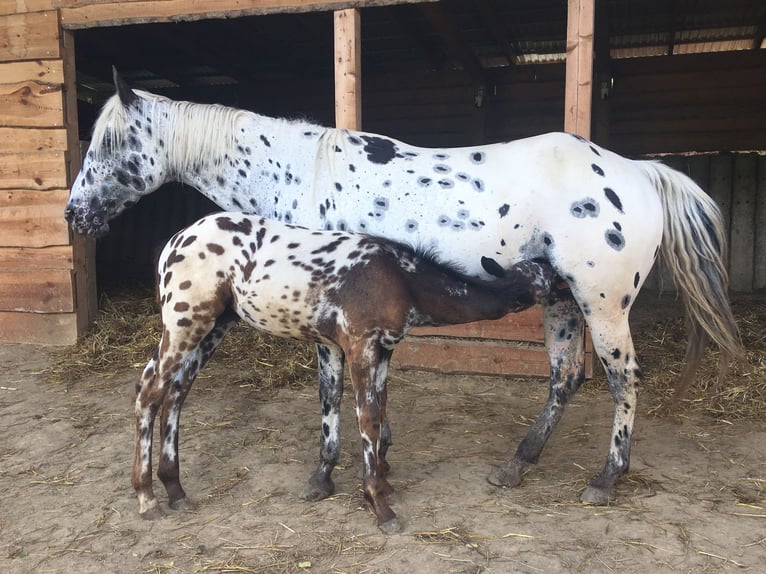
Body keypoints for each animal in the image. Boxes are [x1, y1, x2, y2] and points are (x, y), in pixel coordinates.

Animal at [134, 213, 560, 536]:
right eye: (550, 278)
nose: (569, 289)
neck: (401, 279)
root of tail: (173, 244)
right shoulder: (359, 345)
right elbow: (367, 417)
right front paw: (379, 505)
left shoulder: (384, 348)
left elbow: (379, 409)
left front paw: (381, 485)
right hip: (186, 321)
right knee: (150, 391)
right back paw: (146, 498)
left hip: (214, 324)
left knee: (175, 390)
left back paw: (175, 489)